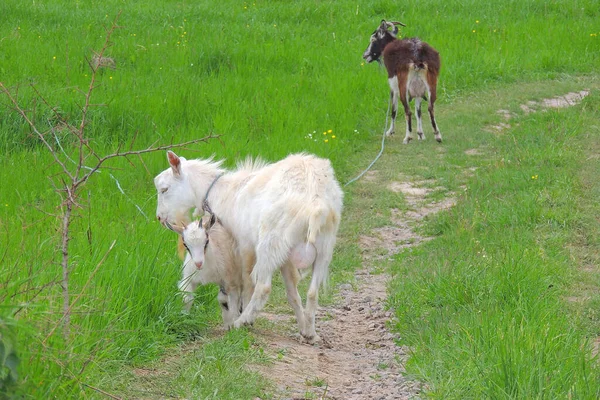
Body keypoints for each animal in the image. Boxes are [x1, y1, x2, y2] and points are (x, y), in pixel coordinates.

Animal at [156, 152, 342, 342]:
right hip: (323, 248)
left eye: (164, 189)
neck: (224, 192)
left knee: (263, 287)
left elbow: (246, 281)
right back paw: (311, 332)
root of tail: (315, 203)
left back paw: (243, 321)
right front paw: (304, 329)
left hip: (270, 243)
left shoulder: (244, 244)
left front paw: (240, 313)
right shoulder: (286, 255)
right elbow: (292, 293)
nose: (159, 218)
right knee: (312, 292)